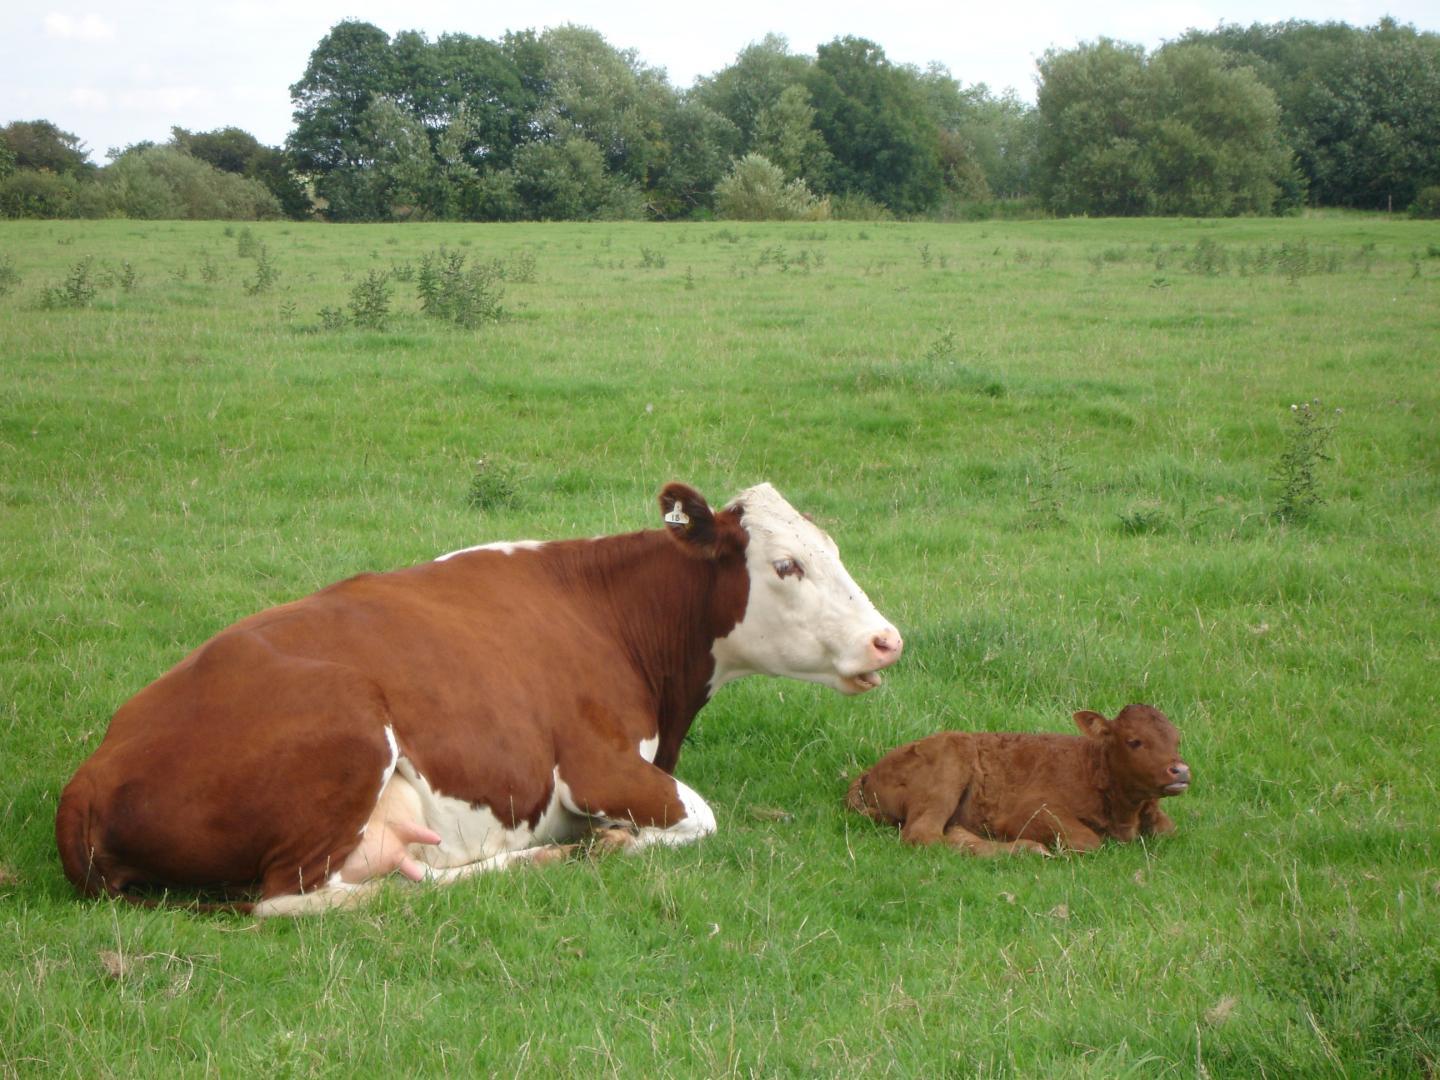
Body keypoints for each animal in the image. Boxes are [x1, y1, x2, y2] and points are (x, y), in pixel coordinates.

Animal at [64, 480, 910, 915]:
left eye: (832, 549)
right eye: (787, 565)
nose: (887, 639)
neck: (611, 612)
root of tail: (90, 778)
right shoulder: (595, 767)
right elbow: (701, 818)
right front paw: (612, 840)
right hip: (349, 734)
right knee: (310, 897)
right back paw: (548, 858)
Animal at [840, 705, 1192, 858]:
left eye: (1176, 739)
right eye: (1134, 741)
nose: (1181, 770)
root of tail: (870, 771)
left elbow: (1169, 829)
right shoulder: (1029, 810)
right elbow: (1087, 840)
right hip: (949, 766)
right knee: (922, 834)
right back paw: (1026, 849)